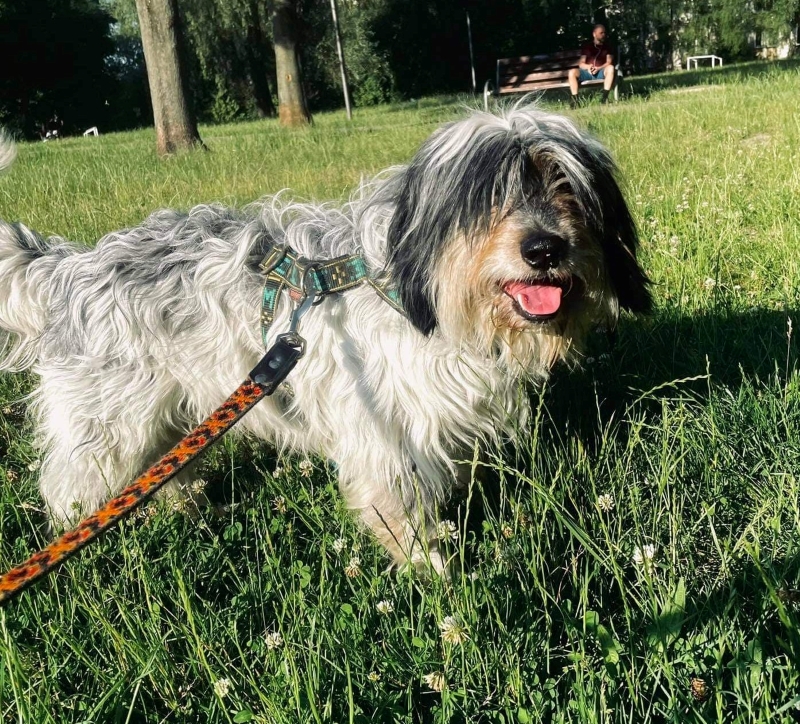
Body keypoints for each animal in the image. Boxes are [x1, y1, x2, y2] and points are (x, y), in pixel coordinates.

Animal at [0, 106, 650, 573]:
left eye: (566, 185)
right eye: (488, 197)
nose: (545, 249)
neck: (410, 288)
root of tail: (64, 266)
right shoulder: (385, 430)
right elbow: (398, 509)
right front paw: (433, 572)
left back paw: (188, 507)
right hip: (107, 425)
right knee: (68, 487)